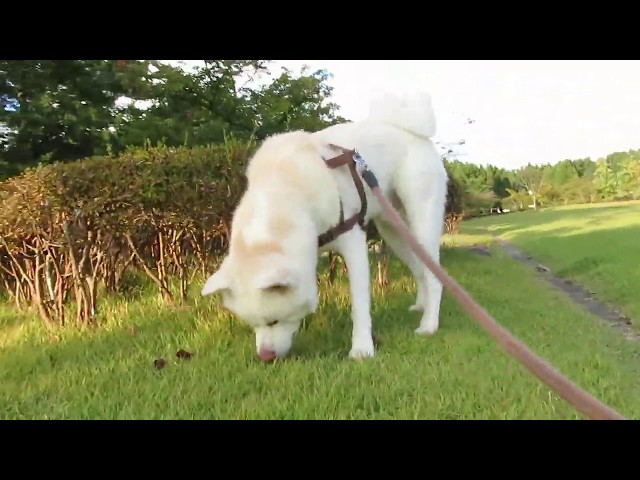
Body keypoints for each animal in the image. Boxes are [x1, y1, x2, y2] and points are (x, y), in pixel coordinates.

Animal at [202, 91, 448, 360]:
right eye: (252, 325)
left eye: (273, 321)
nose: (265, 357)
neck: (286, 191)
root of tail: (409, 130)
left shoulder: (353, 243)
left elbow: (359, 305)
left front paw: (362, 349)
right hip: (393, 231)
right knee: (420, 268)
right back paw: (422, 306)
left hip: (422, 221)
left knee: (435, 276)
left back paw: (429, 324)